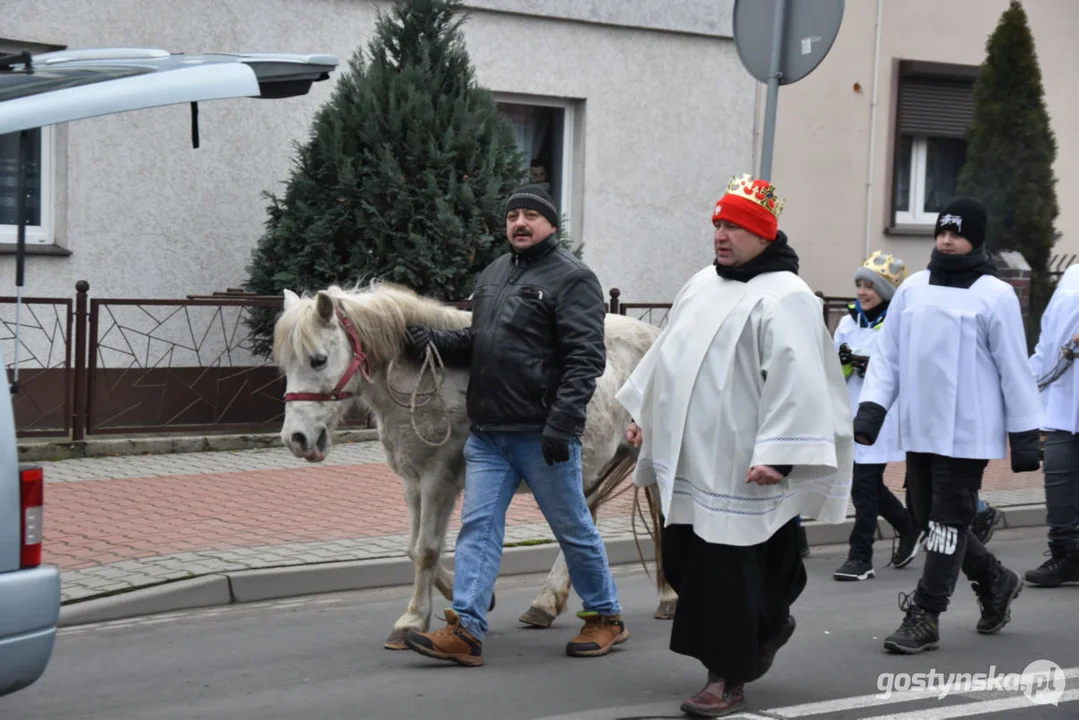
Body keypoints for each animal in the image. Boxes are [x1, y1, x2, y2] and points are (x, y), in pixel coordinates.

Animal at [269, 280, 673, 647]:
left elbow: (427, 550)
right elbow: (414, 547)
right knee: (581, 523)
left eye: (318, 360)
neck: (425, 381)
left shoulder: (437, 481)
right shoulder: (412, 483)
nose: (297, 439)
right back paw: (546, 603)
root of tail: (657, 336)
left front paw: (412, 620)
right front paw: (465, 599)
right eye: (286, 364)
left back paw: (667, 597)